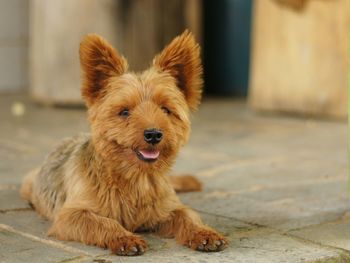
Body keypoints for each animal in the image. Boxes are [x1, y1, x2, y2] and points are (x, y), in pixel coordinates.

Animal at [19, 29, 227, 256]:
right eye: (125, 112)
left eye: (165, 109)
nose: (153, 134)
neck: (136, 178)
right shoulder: (71, 216)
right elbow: (103, 222)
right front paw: (124, 238)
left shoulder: (169, 209)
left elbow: (188, 216)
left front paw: (204, 233)